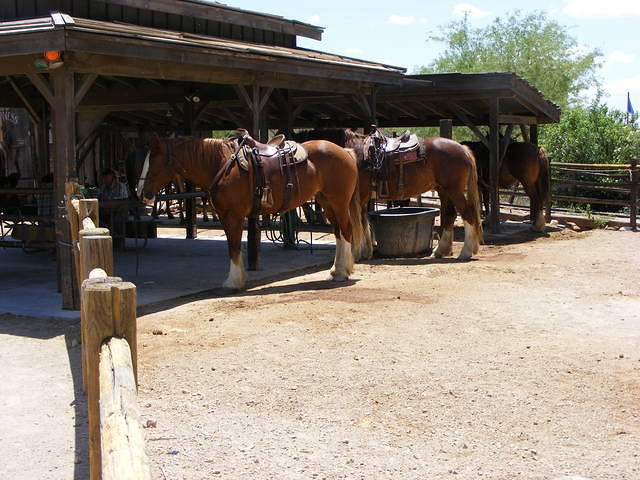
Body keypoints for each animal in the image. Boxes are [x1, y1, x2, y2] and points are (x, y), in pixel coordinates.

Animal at [142, 131, 368, 288]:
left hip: (338, 202)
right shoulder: (225, 216)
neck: (221, 165)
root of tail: (345, 152)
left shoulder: (232, 216)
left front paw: (233, 281)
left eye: (153, 162)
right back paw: (337, 270)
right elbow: (234, 247)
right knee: (338, 233)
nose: (142, 193)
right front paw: (240, 278)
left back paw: (341, 273)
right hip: (327, 202)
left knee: (345, 231)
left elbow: (233, 247)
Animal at [292, 129, 482, 260]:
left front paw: (358, 253)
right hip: (444, 191)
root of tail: (463, 148)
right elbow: (365, 221)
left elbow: (359, 222)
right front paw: (366, 251)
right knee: (449, 215)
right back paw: (441, 251)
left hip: (454, 190)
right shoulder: (363, 198)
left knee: (467, 213)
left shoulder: (357, 197)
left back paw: (466, 252)